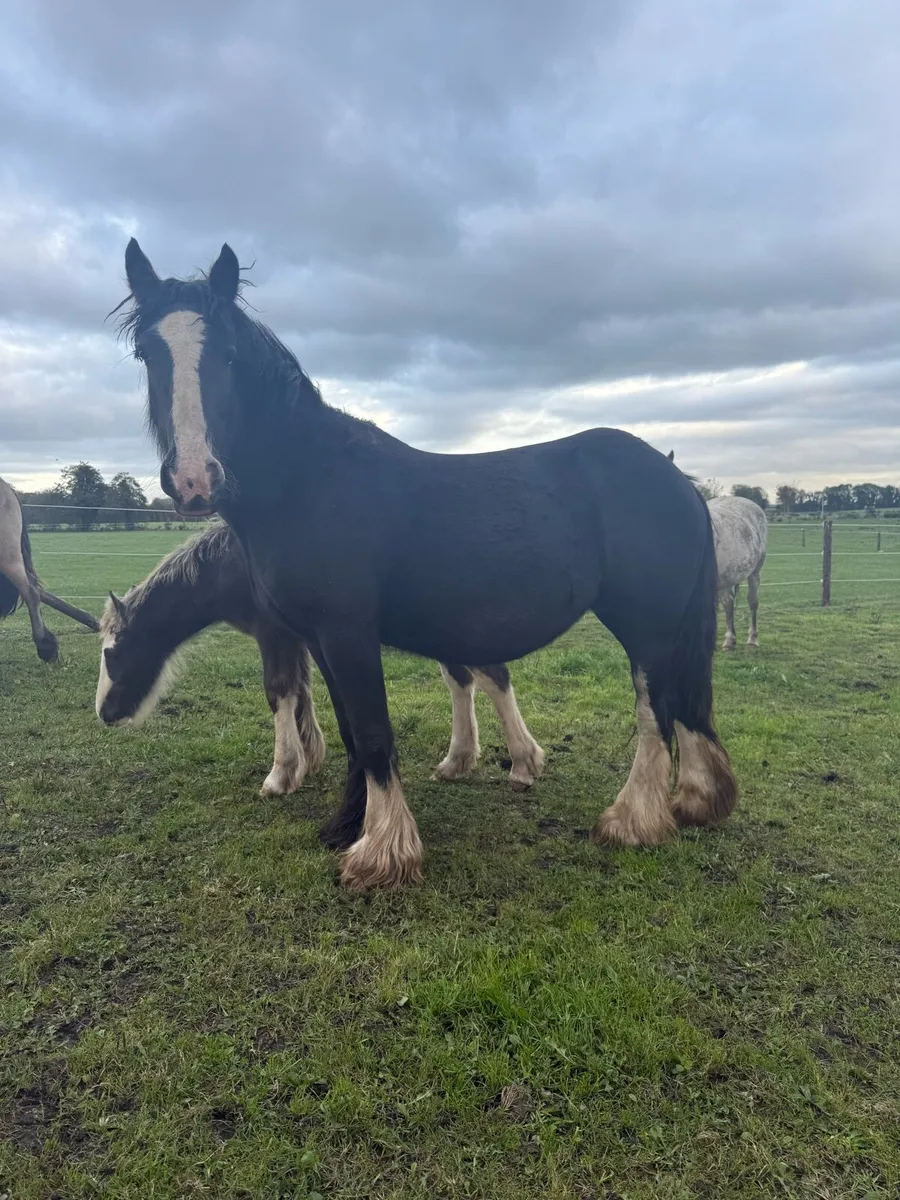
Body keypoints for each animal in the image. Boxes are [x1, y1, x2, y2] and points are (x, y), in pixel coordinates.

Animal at [94, 523, 545, 794]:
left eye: (112, 652)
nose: (104, 713)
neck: (234, 564)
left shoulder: (273, 634)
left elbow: (278, 691)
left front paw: (280, 774)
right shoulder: (302, 637)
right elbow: (302, 690)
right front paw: (308, 758)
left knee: (490, 675)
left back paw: (523, 764)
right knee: (461, 679)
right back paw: (458, 761)